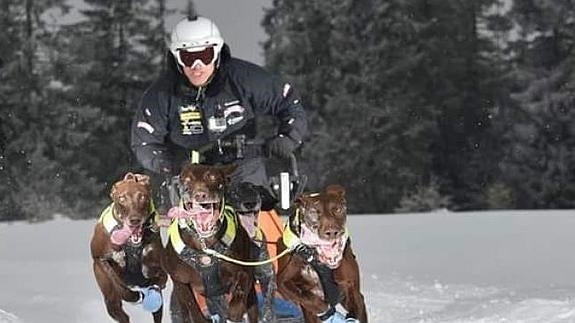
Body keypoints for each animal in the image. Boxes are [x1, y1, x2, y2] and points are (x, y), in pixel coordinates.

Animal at [163, 166, 260, 322]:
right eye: (187, 181)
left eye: (213, 177)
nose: (200, 195)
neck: (204, 245)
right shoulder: (179, 279)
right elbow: (191, 304)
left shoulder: (244, 269)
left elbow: (241, 286)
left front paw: (235, 311)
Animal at [276, 186, 366, 322]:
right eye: (314, 212)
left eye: (338, 209)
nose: (332, 232)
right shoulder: (283, 282)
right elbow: (309, 299)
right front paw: (326, 311)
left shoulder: (353, 291)